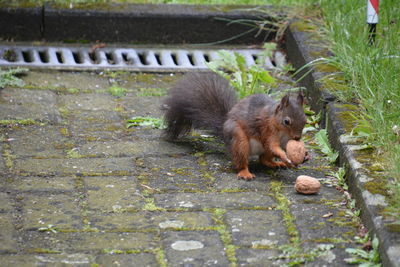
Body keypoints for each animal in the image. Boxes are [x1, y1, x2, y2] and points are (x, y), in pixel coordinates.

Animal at [162, 71, 306, 180]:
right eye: (286, 121)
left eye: (305, 121)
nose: (297, 138)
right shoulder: (267, 130)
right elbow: (273, 146)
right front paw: (285, 156)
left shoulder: (285, 140)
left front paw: (304, 155)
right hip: (239, 141)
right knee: (241, 161)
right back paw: (245, 173)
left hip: (260, 150)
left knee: (264, 159)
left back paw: (275, 163)